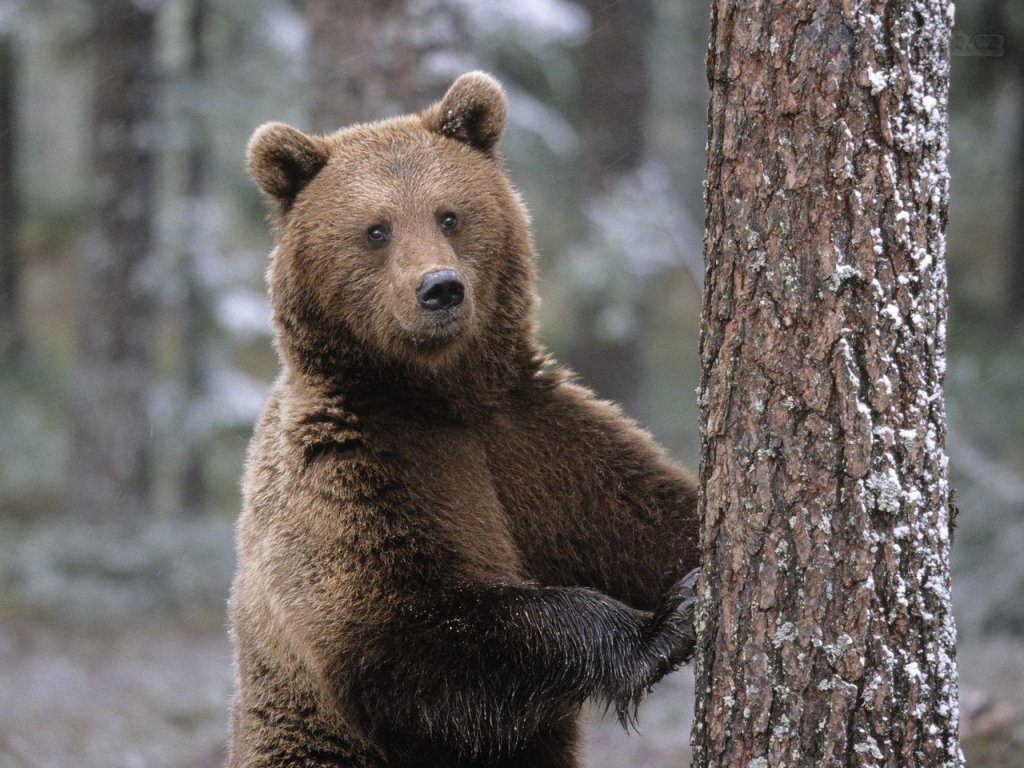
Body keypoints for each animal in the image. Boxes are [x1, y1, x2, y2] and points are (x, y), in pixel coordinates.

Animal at [228, 71, 700, 768]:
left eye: (448, 214)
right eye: (376, 230)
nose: (440, 289)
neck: (439, 394)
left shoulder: (538, 443)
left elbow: (650, 516)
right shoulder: (355, 470)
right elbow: (410, 634)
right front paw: (663, 625)